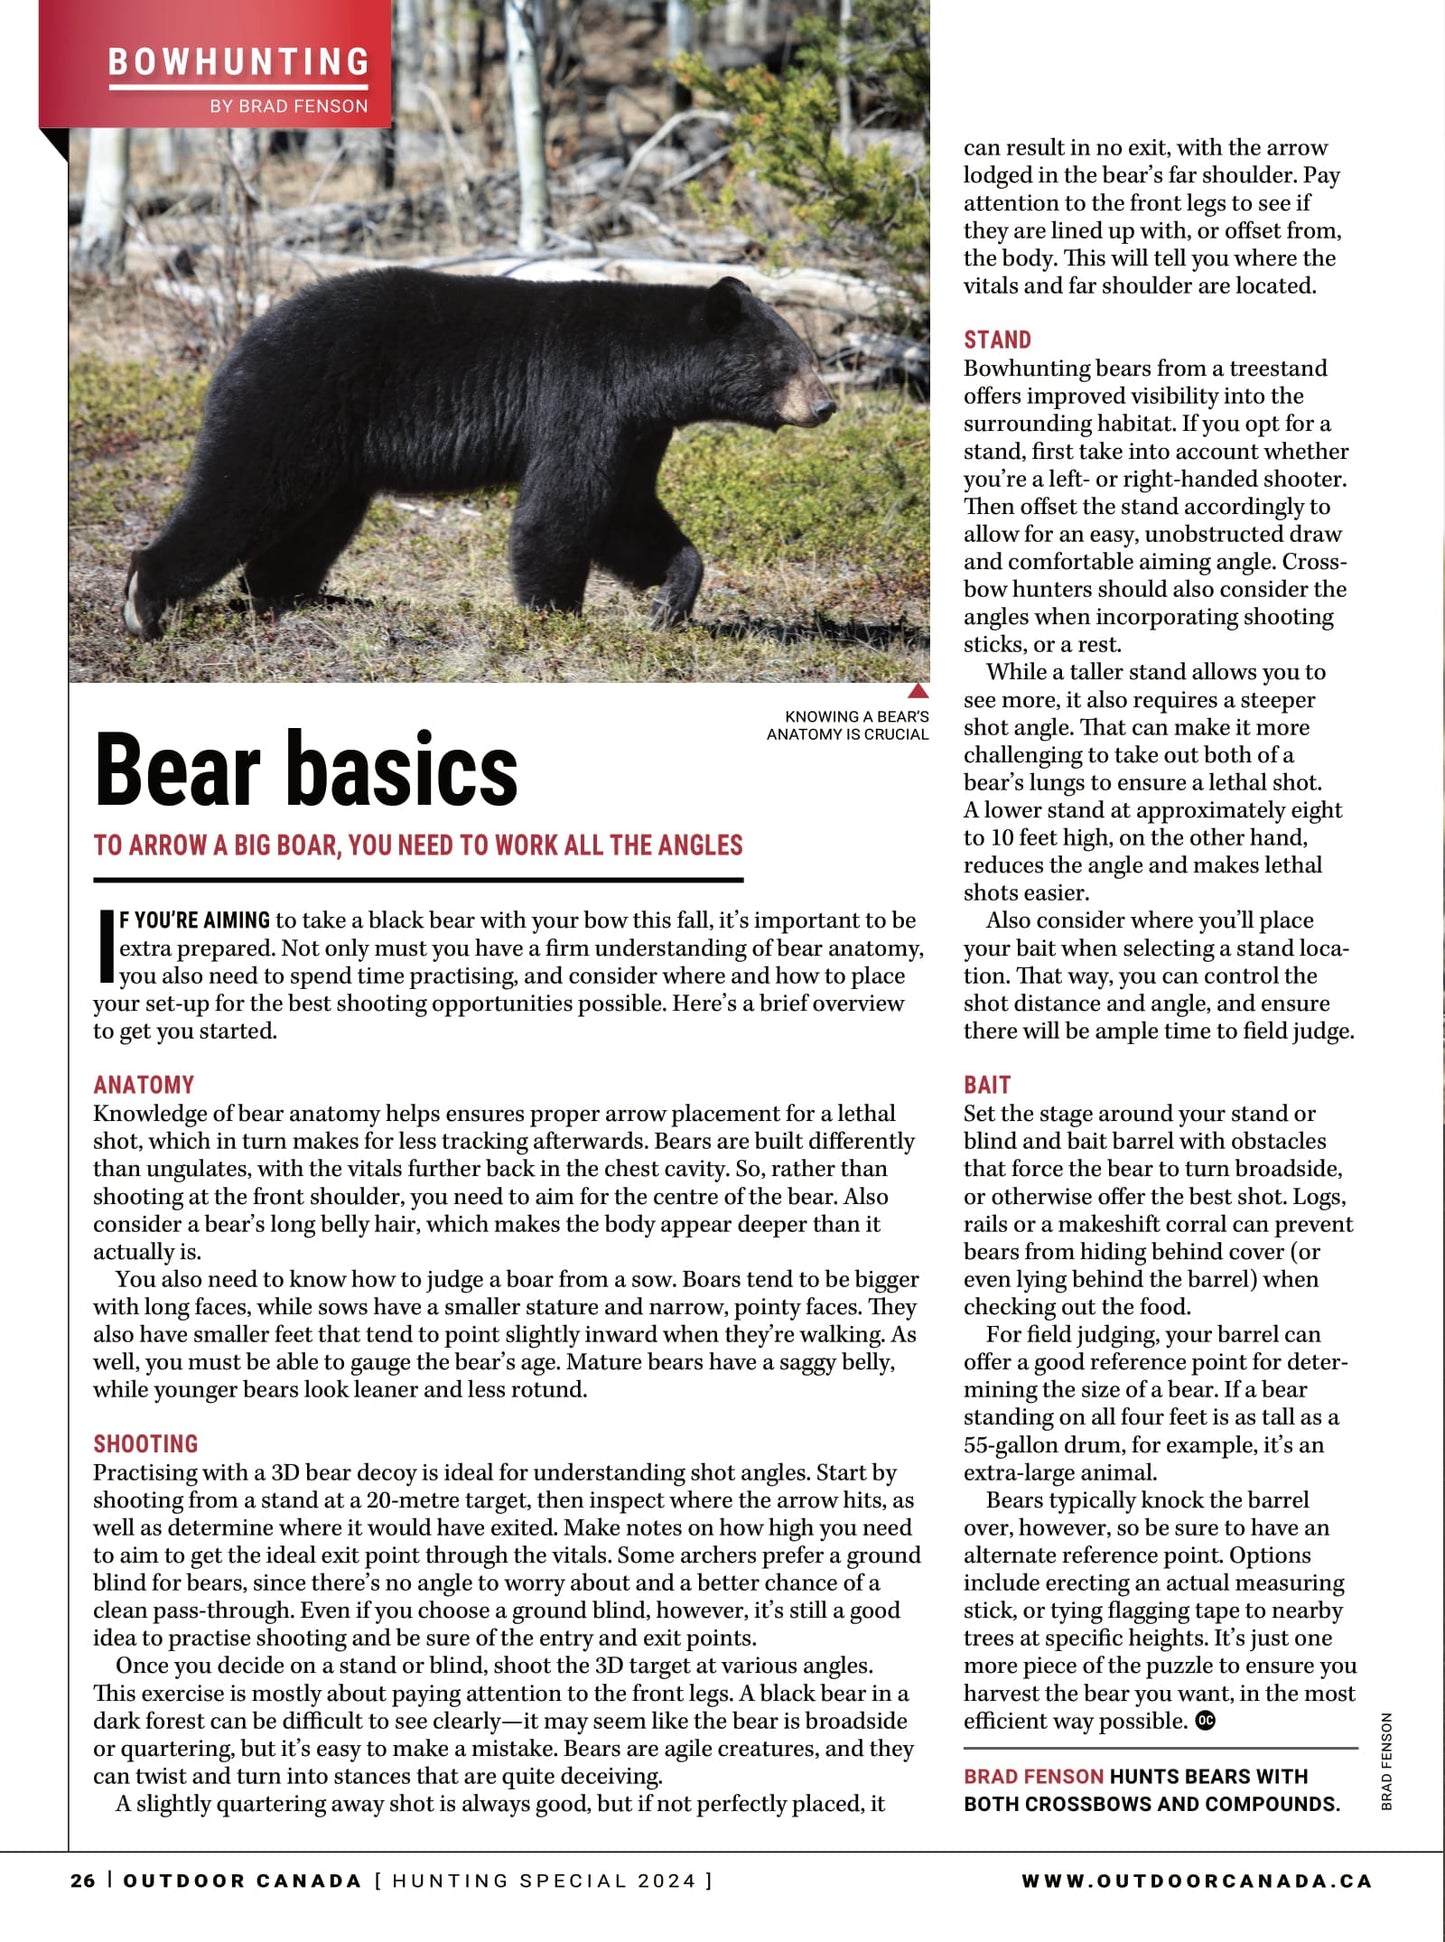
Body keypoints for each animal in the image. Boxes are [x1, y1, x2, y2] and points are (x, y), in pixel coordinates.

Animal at [122, 267, 836, 641]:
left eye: (810, 355)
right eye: (789, 360)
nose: (826, 405)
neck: (645, 371)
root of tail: (242, 340)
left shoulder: (638, 429)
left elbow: (628, 513)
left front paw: (669, 603)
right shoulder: (585, 397)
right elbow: (563, 507)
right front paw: (557, 614)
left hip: (334, 453)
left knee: (313, 523)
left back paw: (297, 596)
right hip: (290, 407)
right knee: (238, 492)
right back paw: (145, 601)